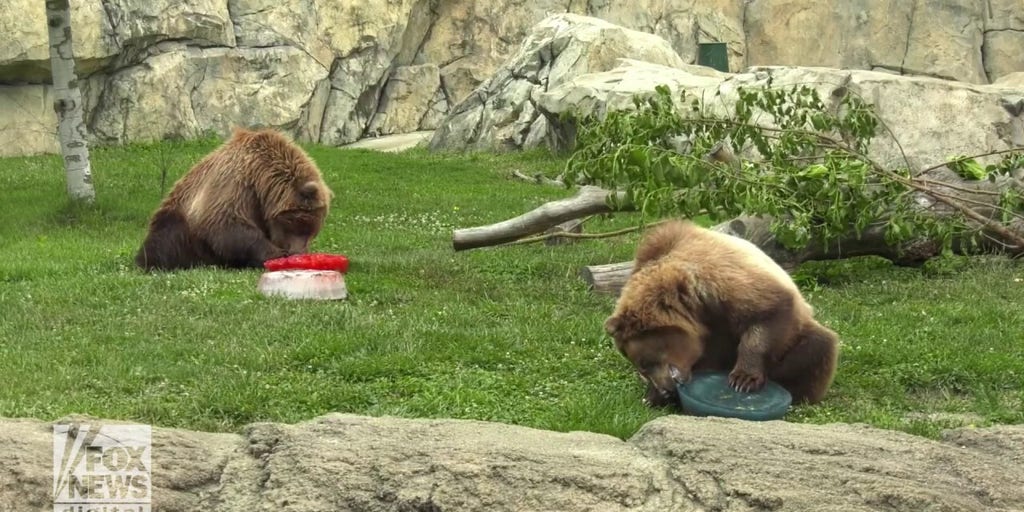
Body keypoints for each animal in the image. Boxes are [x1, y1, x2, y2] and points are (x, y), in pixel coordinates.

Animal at [134, 127, 334, 271]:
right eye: (292, 223)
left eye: (312, 229)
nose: (297, 253)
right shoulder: (237, 186)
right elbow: (227, 224)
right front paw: (276, 254)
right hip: (177, 223)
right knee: (164, 244)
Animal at [604, 219, 840, 408]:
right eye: (642, 368)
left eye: (645, 362)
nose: (665, 388)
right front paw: (653, 396)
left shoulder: (724, 283)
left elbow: (768, 313)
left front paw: (743, 379)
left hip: (798, 334)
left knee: (818, 345)